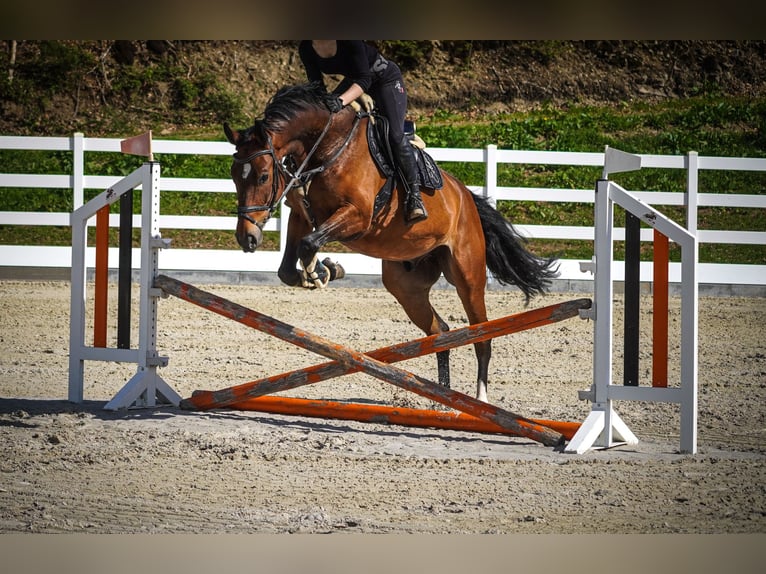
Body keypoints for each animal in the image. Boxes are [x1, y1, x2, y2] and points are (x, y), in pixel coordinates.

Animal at [223, 82, 559, 402]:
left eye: (263, 176)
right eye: (234, 176)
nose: (247, 237)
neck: (328, 149)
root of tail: (466, 197)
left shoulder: (358, 216)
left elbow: (308, 245)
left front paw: (323, 271)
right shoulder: (301, 214)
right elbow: (290, 265)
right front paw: (322, 271)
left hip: (468, 276)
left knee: (482, 336)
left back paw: (480, 399)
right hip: (405, 286)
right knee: (440, 331)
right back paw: (443, 401)